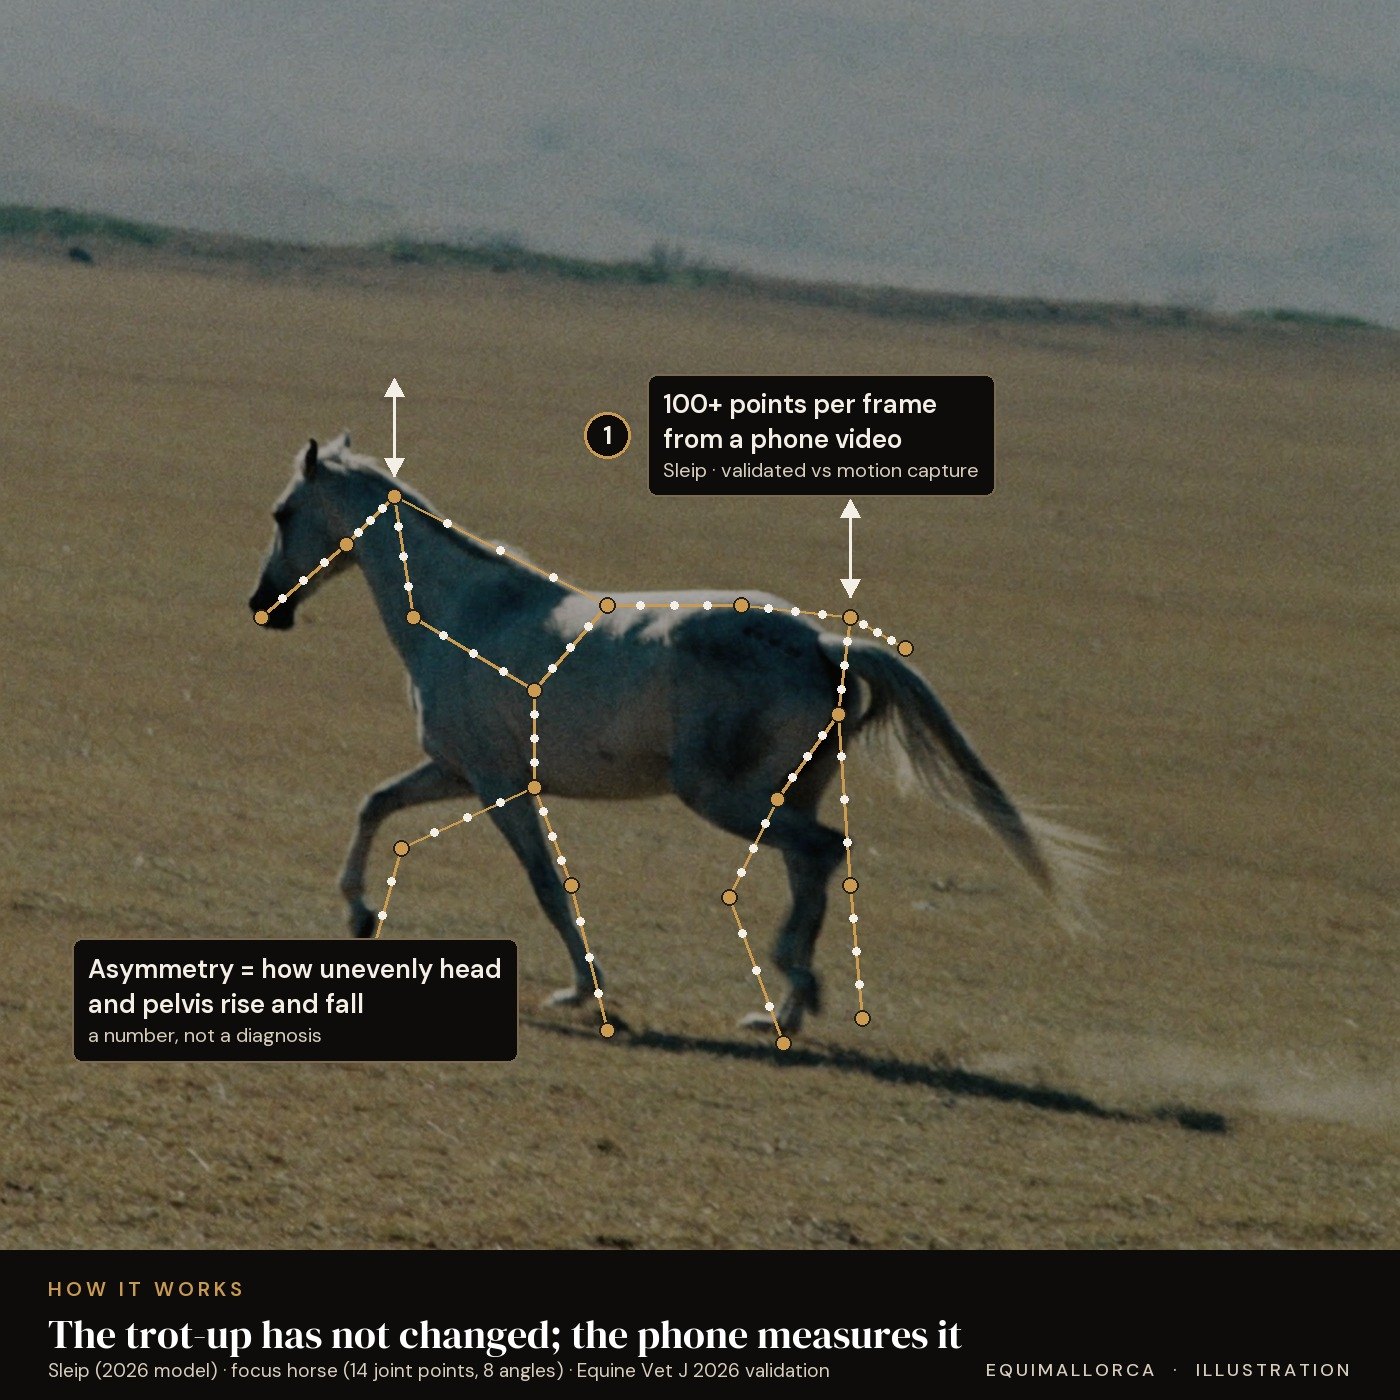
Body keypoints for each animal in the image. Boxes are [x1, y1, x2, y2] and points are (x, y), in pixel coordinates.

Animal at [248, 433, 1083, 1035]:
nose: (265, 606)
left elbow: (546, 884)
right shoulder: (458, 772)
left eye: (283, 513)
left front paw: (584, 992)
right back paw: (780, 1011)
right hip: (787, 794)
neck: (463, 616)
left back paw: (793, 991)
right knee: (811, 867)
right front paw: (360, 914)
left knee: (822, 854)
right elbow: (374, 805)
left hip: (726, 798)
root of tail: (820, 642)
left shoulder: (498, 785)